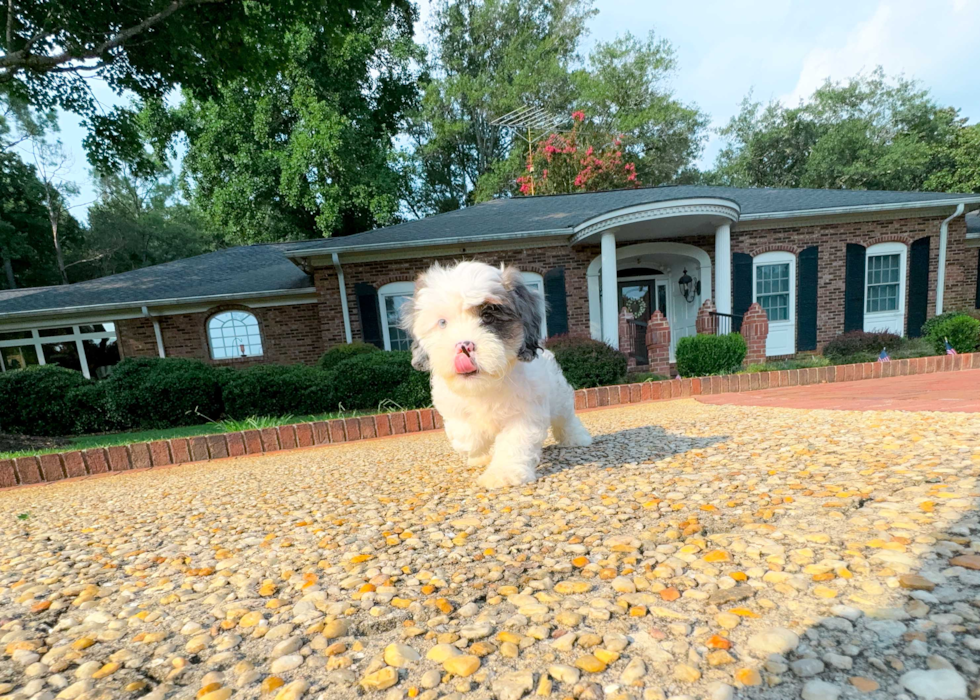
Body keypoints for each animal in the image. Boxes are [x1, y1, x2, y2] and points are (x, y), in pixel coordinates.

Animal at [398, 260, 588, 490]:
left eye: (488, 317)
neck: (485, 385)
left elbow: (515, 443)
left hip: (559, 397)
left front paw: (503, 474)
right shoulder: (451, 406)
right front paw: (478, 450)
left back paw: (577, 438)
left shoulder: (524, 413)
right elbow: (465, 433)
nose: (464, 346)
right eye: (442, 322)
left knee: (565, 419)